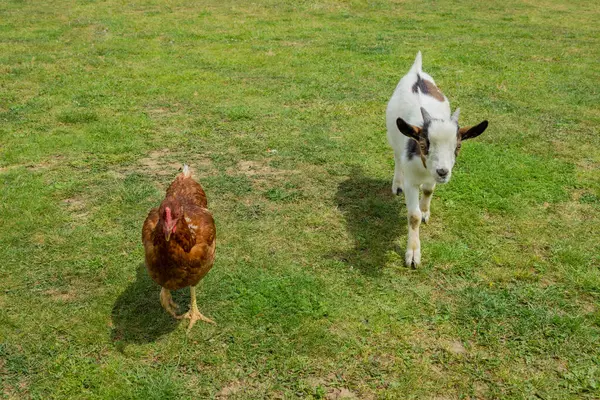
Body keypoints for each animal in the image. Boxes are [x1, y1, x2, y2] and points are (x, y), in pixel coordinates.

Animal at [386, 50, 490, 268]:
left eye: (457, 146)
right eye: (424, 144)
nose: (443, 172)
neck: (424, 168)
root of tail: (417, 71)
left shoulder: (431, 178)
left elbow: (428, 190)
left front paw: (425, 211)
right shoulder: (411, 180)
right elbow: (413, 216)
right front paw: (413, 254)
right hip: (392, 136)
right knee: (397, 157)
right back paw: (396, 184)